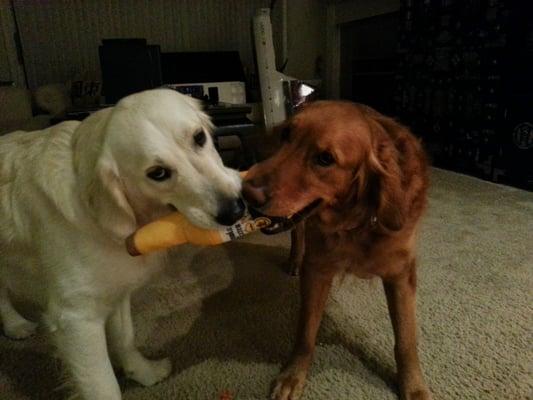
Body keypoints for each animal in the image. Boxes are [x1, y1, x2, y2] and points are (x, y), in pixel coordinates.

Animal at [0, 89, 244, 398]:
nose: (235, 211)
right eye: (158, 173)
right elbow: (101, 385)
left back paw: (15, 324)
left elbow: (125, 337)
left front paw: (143, 372)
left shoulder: (117, 288)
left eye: (199, 137)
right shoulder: (75, 319)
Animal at [243, 101, 430, 398]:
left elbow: (406, 338)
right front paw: (293, 375)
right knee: (298, 232)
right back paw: (294, 259)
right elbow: (306, 331)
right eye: (287, 135)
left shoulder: (401, 275)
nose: (246, 193)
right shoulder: (317, 269)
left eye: (325, 159)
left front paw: (413, 386)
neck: (358, 222)